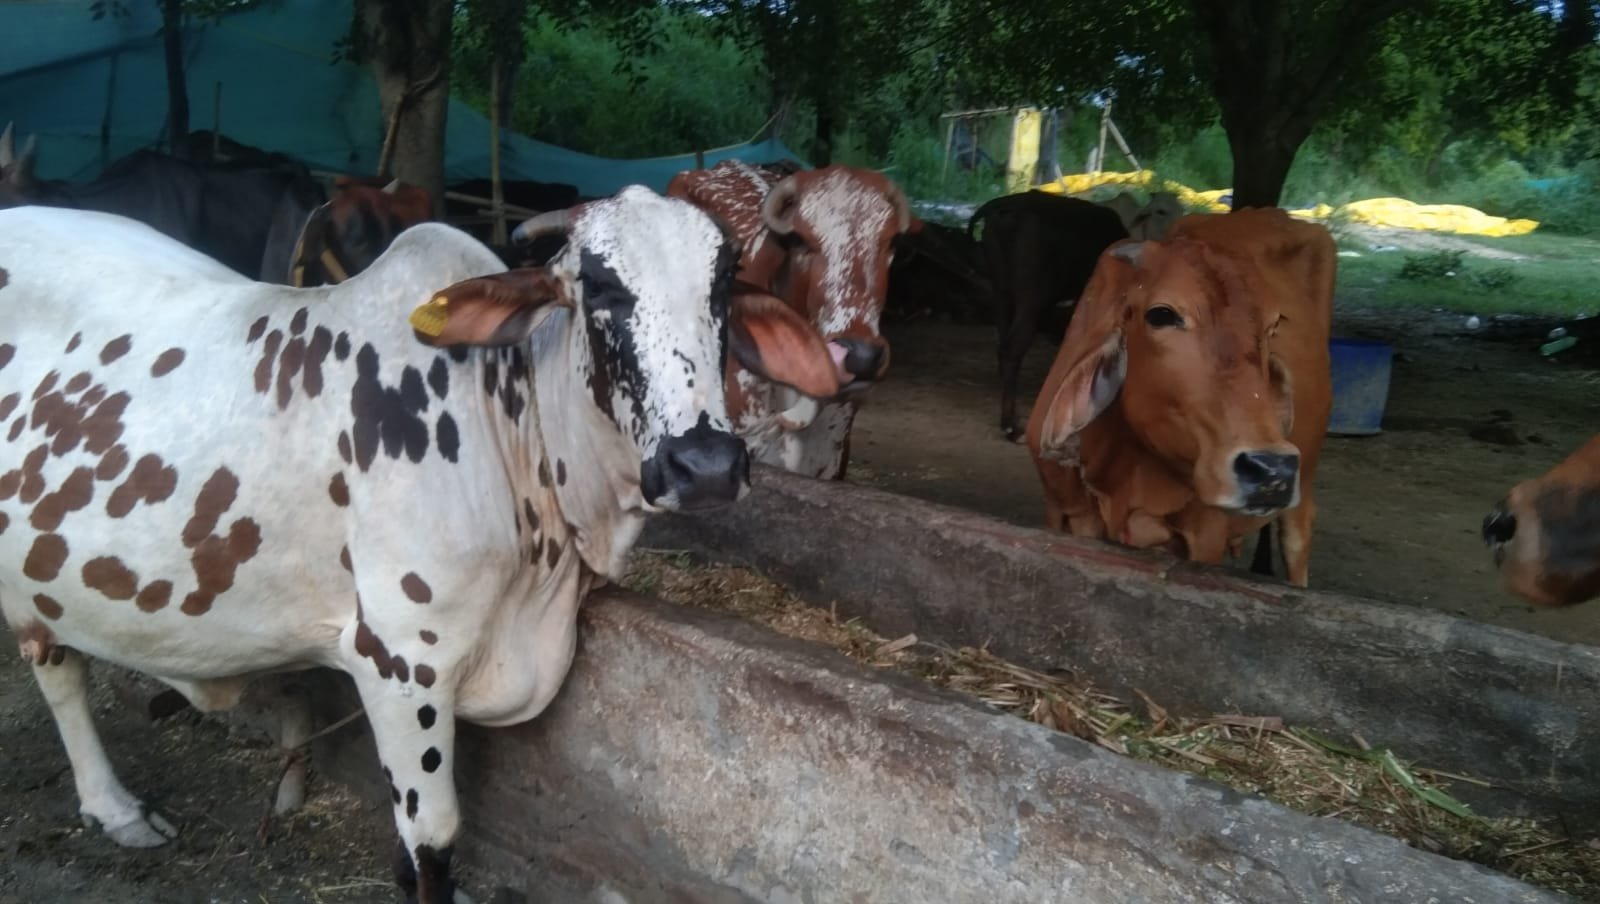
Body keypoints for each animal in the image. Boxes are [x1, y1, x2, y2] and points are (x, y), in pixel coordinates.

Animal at [969, 191, 1130, 441]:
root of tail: (1006, 206)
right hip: (1030, 302)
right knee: (1012, 349)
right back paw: (1011, 426)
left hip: (1002, 295)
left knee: (1002, 344)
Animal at [1025, 207, 1335, 587]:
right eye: (1162, 314)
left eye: (1274, 325)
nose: (1271, 469)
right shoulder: (1067, 512)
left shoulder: (1206, 536)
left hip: (1304, 484)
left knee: (1296, 541)